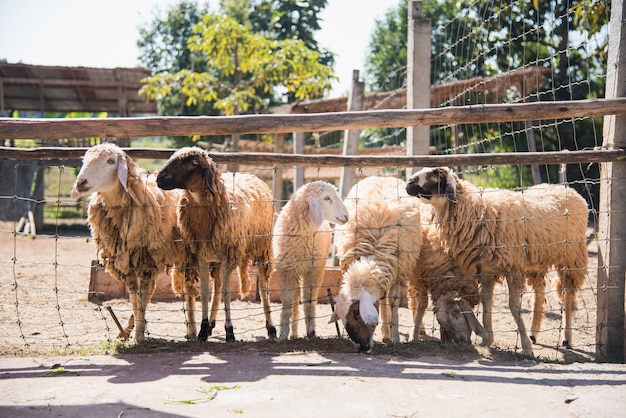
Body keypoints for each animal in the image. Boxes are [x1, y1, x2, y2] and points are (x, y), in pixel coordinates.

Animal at [68, 144, 196, 342]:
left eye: (111, 161)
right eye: (84, 160)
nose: (81, 182)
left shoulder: (144, 260)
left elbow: (141, 297)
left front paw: (139, 335)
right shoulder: (127, 260)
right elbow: (135, 297)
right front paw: (135, 330)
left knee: (188, 290)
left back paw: (191, 330)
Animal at [155, 145, 274, 342]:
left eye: (192, 162)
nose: (159, 178)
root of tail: (252, 175)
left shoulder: (228, 256)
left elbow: (227, 293)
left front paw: (230, 331)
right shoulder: (202, 256)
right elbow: (205, 292)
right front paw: (203, 330)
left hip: (261, 247)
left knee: (263, 286)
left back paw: (271, 327)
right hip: (216, 257)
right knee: (217, 285)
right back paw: (210, 324)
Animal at [272, 180, 352, 340]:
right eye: (327, 198)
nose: (346, 216)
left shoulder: (314, 271)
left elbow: (309, 300)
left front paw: (311, 331)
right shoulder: (284, 271)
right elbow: (287, 301)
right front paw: (283, 333)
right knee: (295, 298)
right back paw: (293, 332)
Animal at [330, 175, 422, 352]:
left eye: (356, 313)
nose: (361, 347)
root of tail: (382, 176)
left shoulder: (396, 271)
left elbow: (393, 302)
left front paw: (396, 337)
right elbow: (380, 303)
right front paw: (387, 334)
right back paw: (385, 333)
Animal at [408, 167, 588, 356]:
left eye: (437, 175)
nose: (408, 183)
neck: (477, 212)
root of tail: (568, 189)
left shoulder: (513, 268)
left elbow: (514, 307)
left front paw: (526, 348)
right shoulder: (487, 269)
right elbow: (487, 302)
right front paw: (487, 340)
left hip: (571, 256)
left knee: (568, 295)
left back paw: (566, 338)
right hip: (537, 261)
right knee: (539, 292)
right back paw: (534, 333)